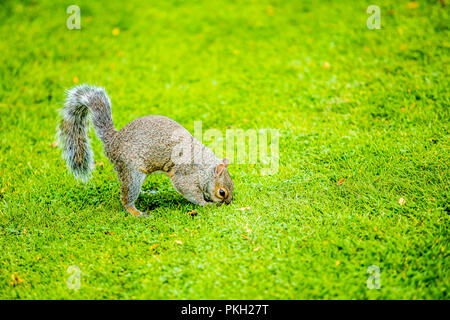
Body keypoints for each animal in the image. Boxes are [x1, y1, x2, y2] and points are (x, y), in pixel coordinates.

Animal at [56, 84, 234, 216]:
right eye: (222, 192)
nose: (228, 203)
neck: (204, 168)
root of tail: (113, 140)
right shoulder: (185, 175)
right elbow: (189, 191)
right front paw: (205, 203)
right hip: (131, 170)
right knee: (126, 197)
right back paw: (136, 212)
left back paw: (149, 193)